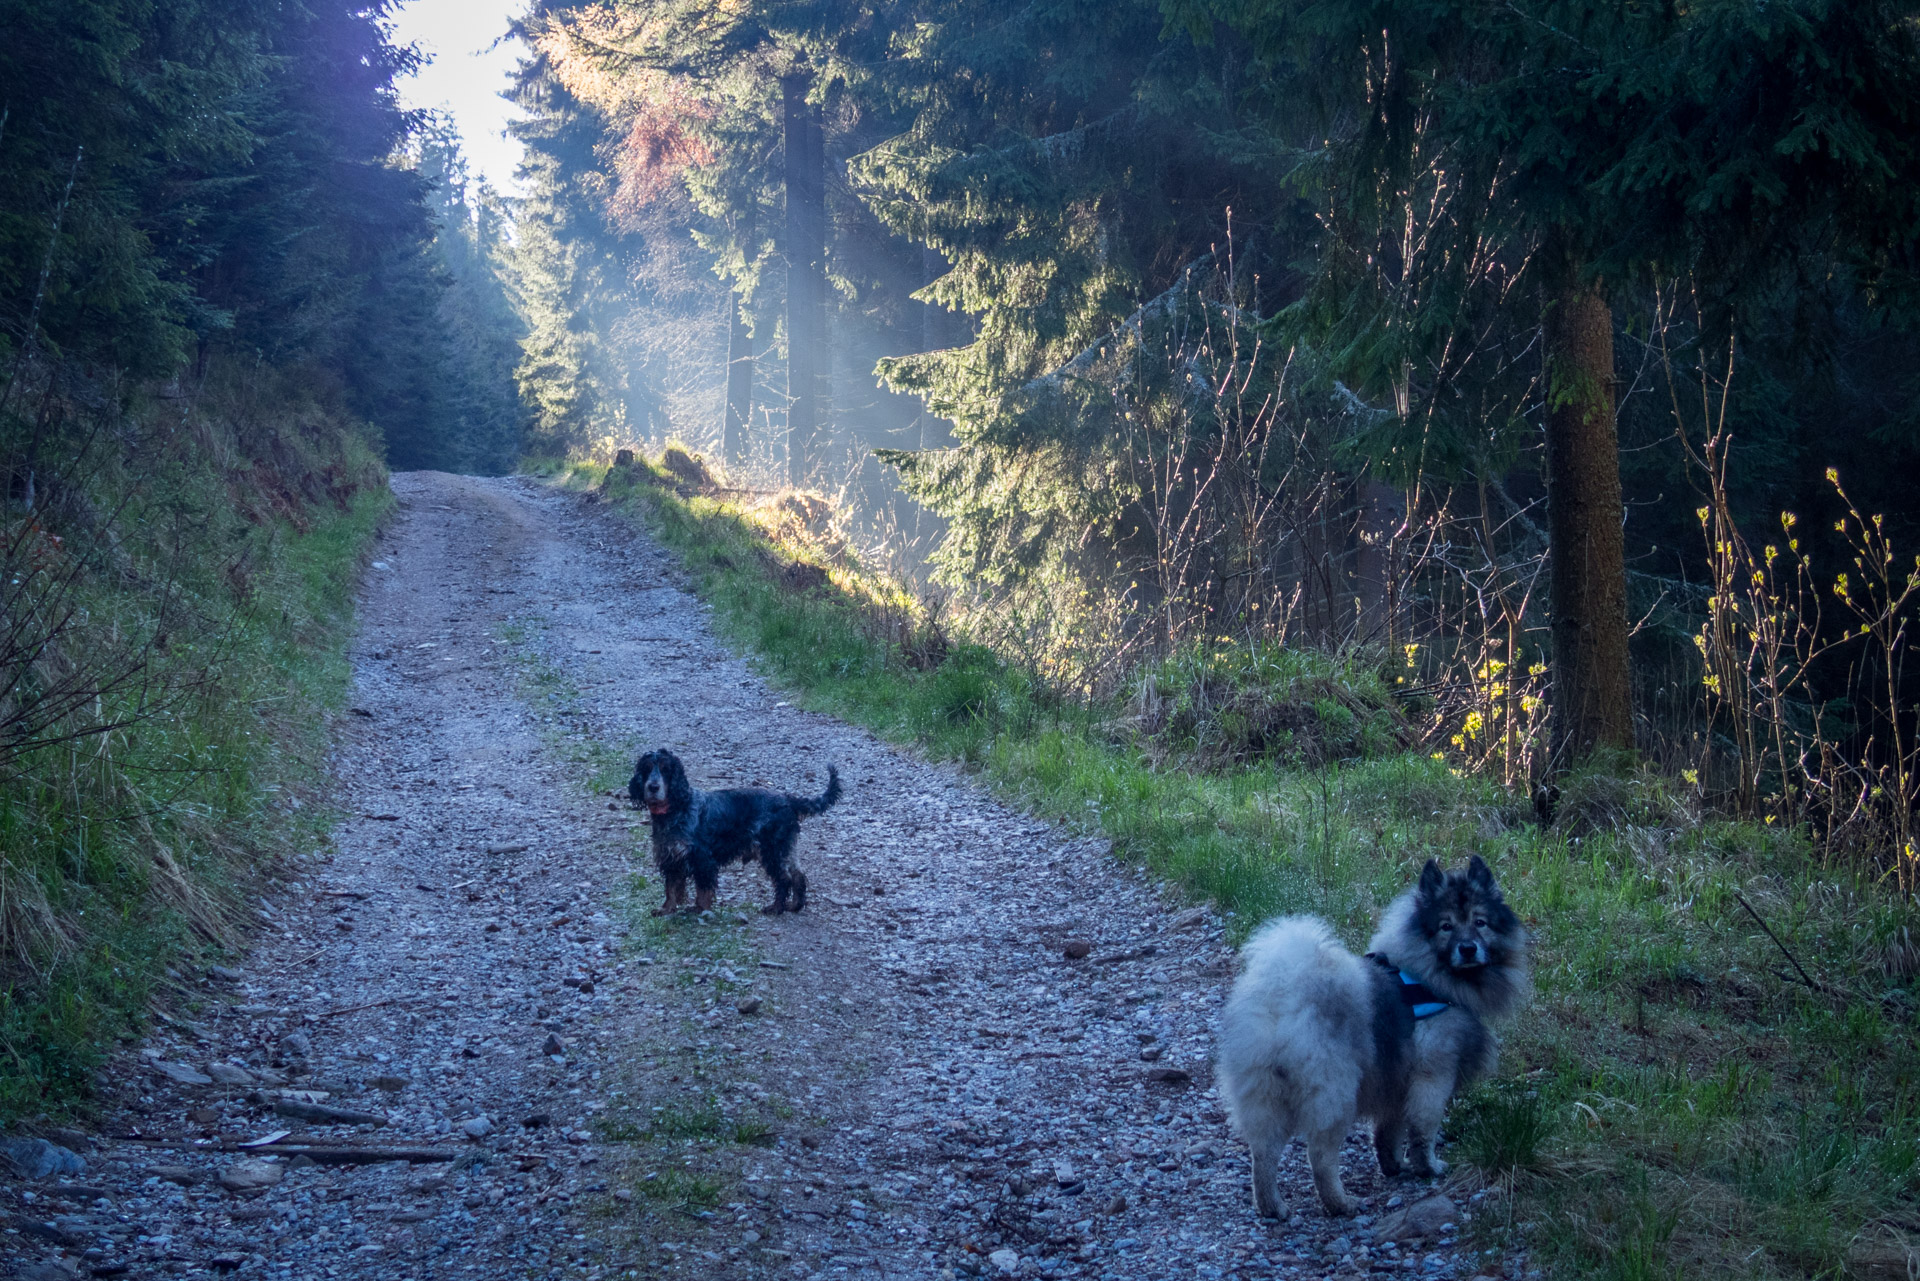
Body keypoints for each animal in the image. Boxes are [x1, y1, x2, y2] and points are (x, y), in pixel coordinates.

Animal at [1221, 856, 1520, 1221]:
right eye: (1446, 926)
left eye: (1480, 922)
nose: (1467, 948)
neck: (1428, 976)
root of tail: (1282, 1002)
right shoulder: (1433, 1075)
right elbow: (1423, 1128)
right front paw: (1429, 1168)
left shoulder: (1396, 1081)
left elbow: (1388, 1131)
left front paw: (1394, 1166)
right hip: (1335, 1095)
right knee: (1320, 1156)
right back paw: (1340, 1203)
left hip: (1265, 1095)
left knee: (1263, 1154)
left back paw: (1272, 1207)